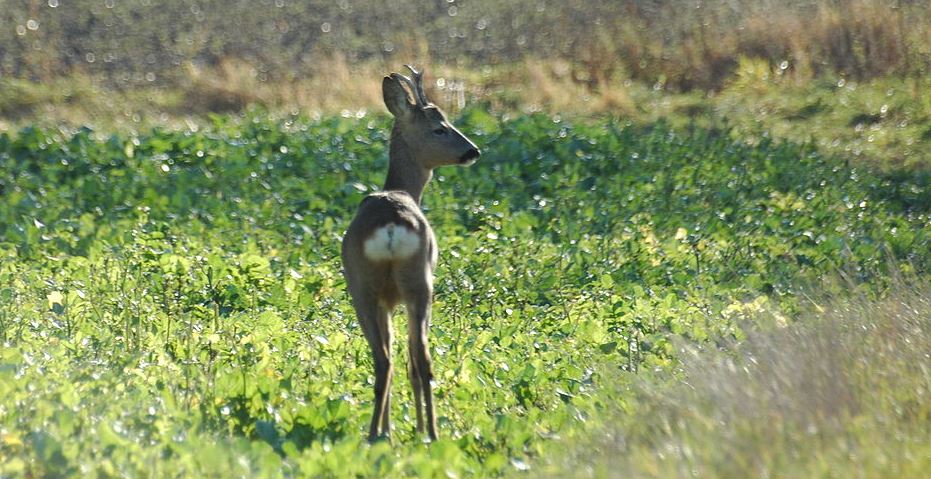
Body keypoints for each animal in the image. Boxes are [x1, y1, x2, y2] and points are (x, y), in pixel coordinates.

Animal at [344, 64, 484, 442]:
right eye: (440, 127)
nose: (473, 151)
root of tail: (392, 227)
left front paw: (392, 427)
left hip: (372, 287)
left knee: (391, 359)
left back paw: (387, 433)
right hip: (414, 283)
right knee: (414, 358)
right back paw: (424, 433)